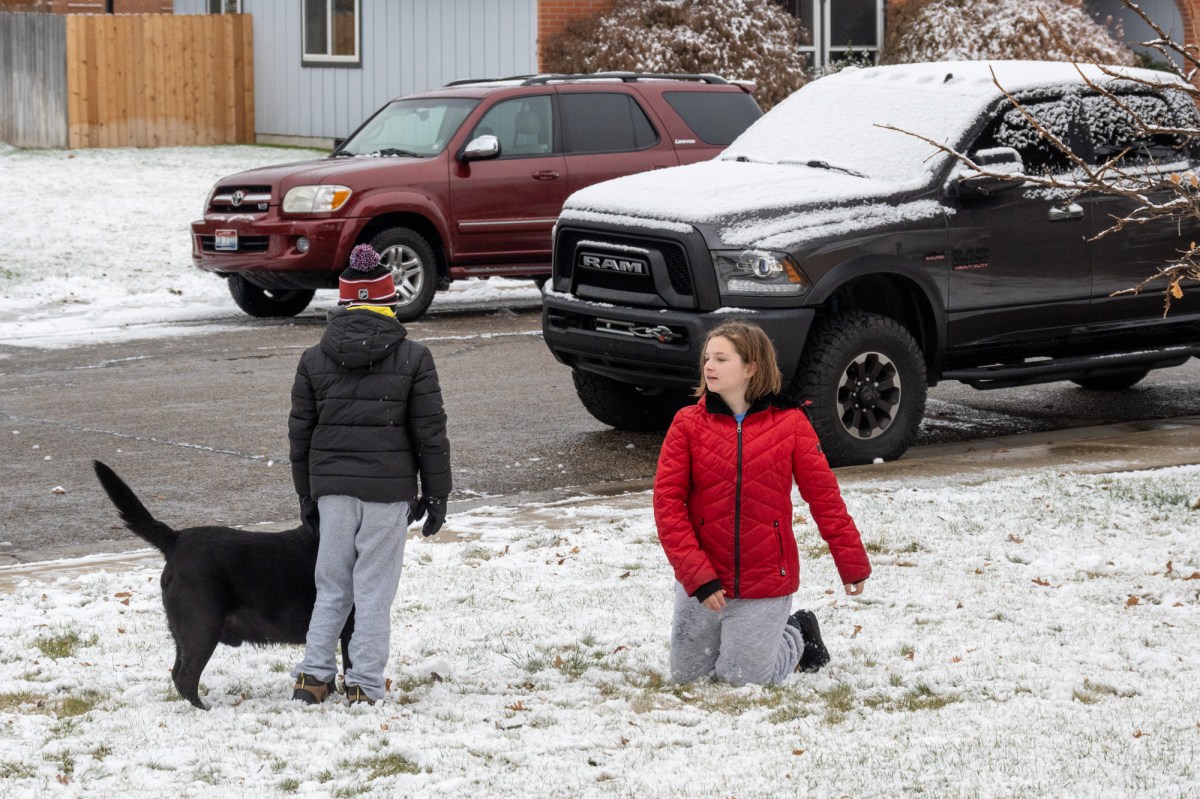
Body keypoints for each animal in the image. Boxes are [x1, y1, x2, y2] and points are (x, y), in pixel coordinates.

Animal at [93, 460, 353, 709]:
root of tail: (176, 539)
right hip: (202, 627)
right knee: (186, 677)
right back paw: (204, 710)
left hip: (184, 632)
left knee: (177, 673)